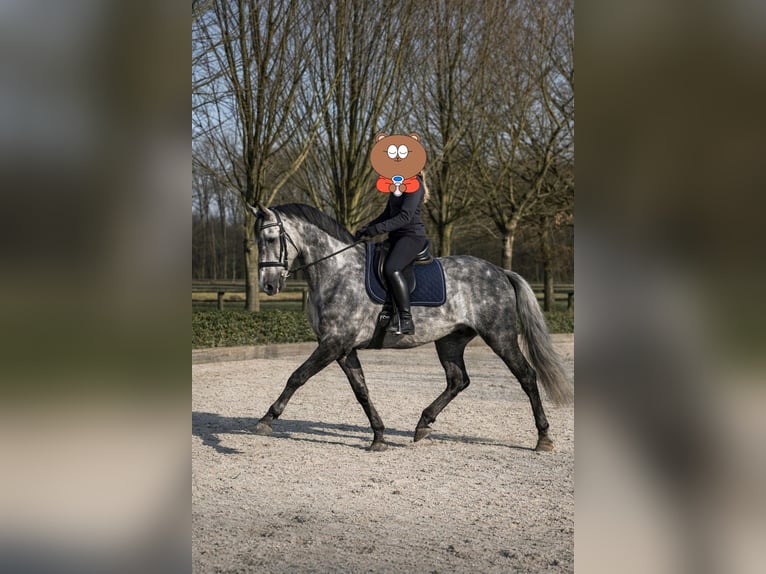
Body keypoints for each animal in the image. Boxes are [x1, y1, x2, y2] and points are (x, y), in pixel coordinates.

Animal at [248, 202, 573, 452]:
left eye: (271, 238)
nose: (268, 285)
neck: (336, 271)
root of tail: (500, 272)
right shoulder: (342, 348)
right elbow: (361, 391)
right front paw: (379, 436)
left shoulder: (333, 343)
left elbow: (297, 376)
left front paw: (266, 419)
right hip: (450, 340)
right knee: (458, 380)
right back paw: (423, 424)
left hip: (500, 336)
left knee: (527, 376)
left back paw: (543, 438)